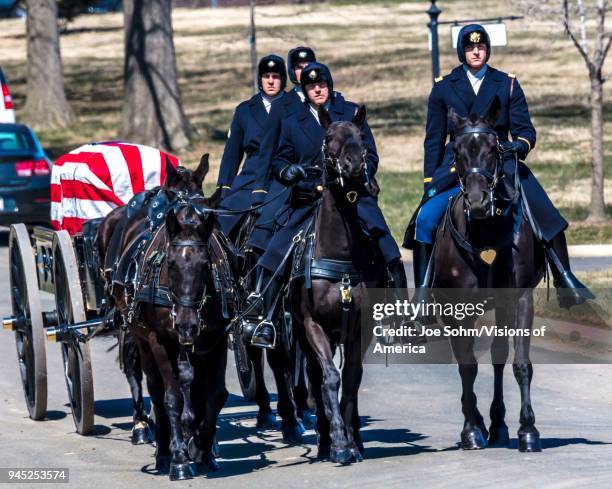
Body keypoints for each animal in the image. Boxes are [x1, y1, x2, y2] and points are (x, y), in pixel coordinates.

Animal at [430, 97, 544, 452]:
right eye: (456, 150)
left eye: (494, 149)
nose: (479, 202)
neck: (486, 232)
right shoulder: (457, 308)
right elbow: (467, 365)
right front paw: (470, 429)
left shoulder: (520, 299)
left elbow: (520, 363)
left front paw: (527, 429)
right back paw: (479, 423)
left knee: (497, 356)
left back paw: (498, 424)